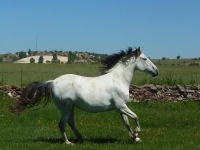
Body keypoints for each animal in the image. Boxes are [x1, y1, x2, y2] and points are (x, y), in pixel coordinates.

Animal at [10, 47, 158, 145]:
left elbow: (127, 123)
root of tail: (53, 82)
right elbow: (135, 117)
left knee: (70, 123)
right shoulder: (121, 106)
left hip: (71, 107)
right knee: (62, 123)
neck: (118, 79)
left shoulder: (120, 108)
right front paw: (137, 133)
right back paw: (69, 142)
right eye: (145, 58)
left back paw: (82, 139)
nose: (156, 71)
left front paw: (135, 138)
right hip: (66, 107)